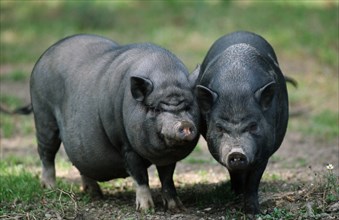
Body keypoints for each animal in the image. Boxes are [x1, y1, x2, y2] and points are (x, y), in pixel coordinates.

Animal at [30, 34, 201, 211]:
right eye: (155, 109)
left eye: (189, 106)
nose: (184, 124)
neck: (166, 76)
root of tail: (45, 55)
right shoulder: (126, 145)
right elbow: (140, 176)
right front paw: (146, 209)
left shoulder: (167, 158)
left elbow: (167, 178)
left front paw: (177, 207)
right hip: (43, 115)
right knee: (46, 153)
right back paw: (50, 188)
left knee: (80, 163)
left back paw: (94, 194)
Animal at [194, 30, 290, 213]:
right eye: (219, 127)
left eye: (253, 126)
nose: (236, 153)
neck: (236, 87)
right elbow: (236, 174)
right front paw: (237, 196)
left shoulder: (265, 149)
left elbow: (254, 180)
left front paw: (253, 212)